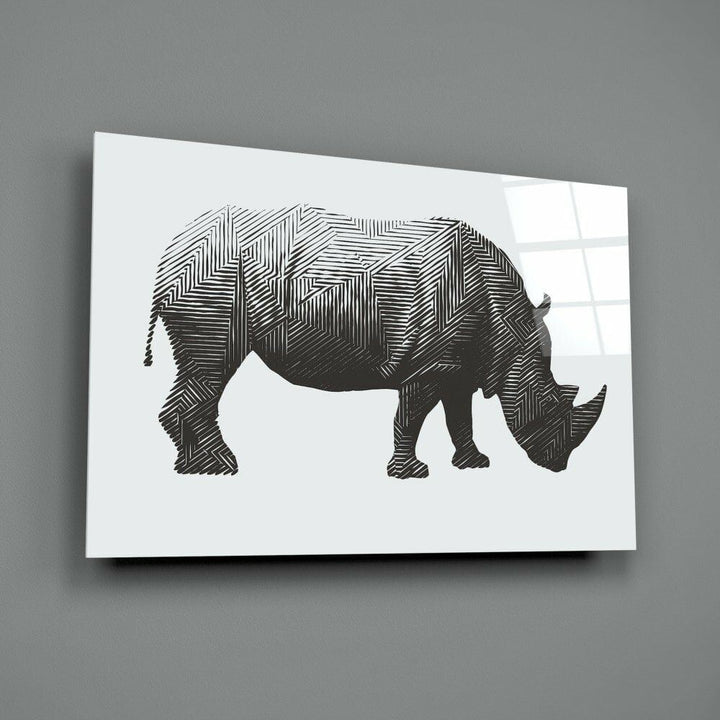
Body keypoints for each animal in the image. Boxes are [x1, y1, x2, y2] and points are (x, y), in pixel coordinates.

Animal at [144, 204, 606, 478]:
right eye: (548, 406)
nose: (559, 465)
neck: (512, 334)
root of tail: (172, 246)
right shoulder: (428, 365)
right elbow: (410, 416)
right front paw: (411, 474)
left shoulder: (459, 365)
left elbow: (460, 416)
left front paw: (475, 465)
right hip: (213, 284)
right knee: (212, 365)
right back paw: (223, 467)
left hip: (208, 278)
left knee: (197, 370)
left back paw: (189, 469)